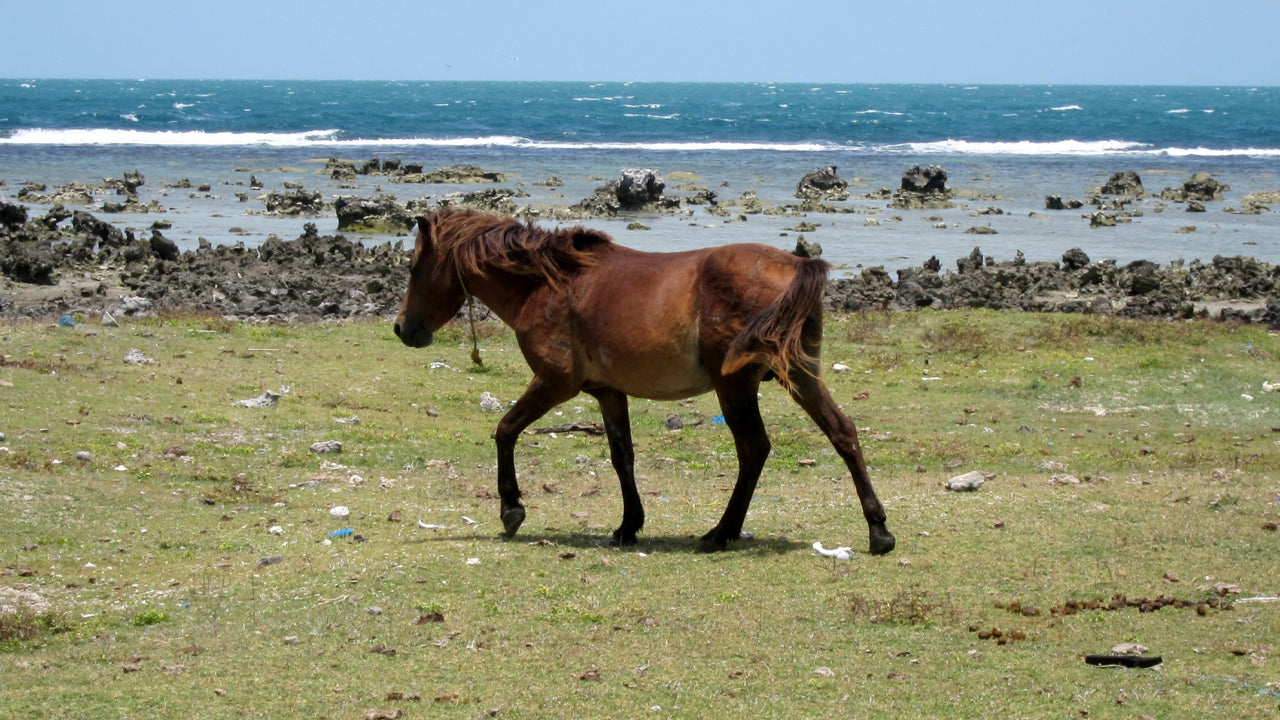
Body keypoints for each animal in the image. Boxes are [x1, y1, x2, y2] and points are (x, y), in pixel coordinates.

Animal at [394, 207, 896, 556]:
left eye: (414, 268)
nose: (403, 329)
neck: (548, 284)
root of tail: (795, 266)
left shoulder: (555, 383)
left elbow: (505, 430)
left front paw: (511, 509)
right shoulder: (607, 392)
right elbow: (623, 457)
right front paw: (627, 525)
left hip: (736, 387)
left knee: (754, 449)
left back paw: (721, 532)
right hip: (800, 375)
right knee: (842, 432)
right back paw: (879, 531)